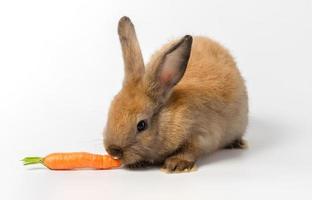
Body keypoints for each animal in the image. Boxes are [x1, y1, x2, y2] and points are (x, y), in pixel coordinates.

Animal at [103, 16, 247, 173]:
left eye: (141, 125)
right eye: (110, 111)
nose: (113, 150)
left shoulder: (200, 134)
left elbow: (190, 150)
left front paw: (176, 164)